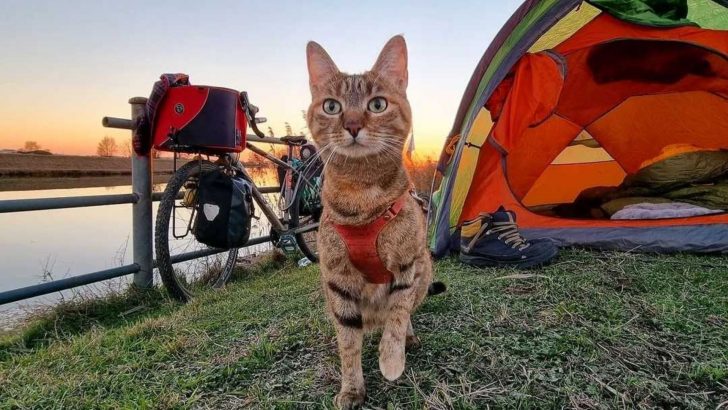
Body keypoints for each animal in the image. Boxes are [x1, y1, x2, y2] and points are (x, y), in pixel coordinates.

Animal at [306, 36, 440, 408]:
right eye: (332, 107)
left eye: (377, 104)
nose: (352, 125)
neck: (362, 195)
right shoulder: (337, 278)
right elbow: (348, 344)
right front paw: (352, 388)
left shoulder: (407, 266)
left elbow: (397, 314)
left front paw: (392, 360)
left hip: (425, 271)